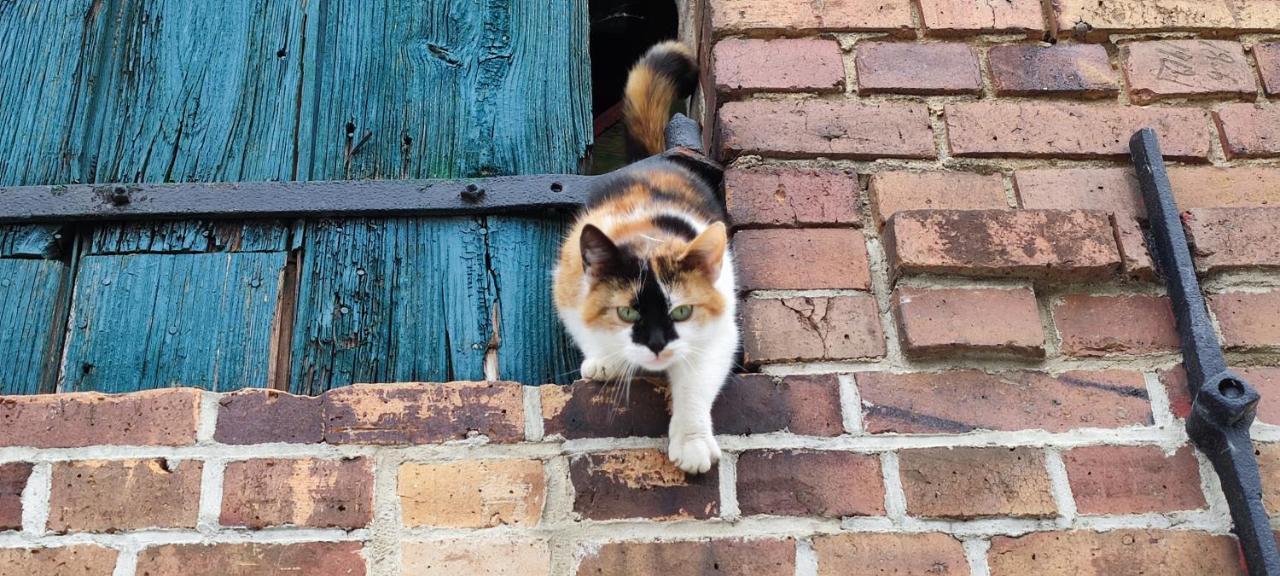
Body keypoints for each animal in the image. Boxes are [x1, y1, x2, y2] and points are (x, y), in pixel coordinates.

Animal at [552, 41, 742, 473]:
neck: (649, 236)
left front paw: (691, 443)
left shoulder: (720, 330)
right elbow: (588, 330)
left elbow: (695, 383)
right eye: (627, 313)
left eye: (681, 312)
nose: (656, 344)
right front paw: (606, 361)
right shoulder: (567, 286)